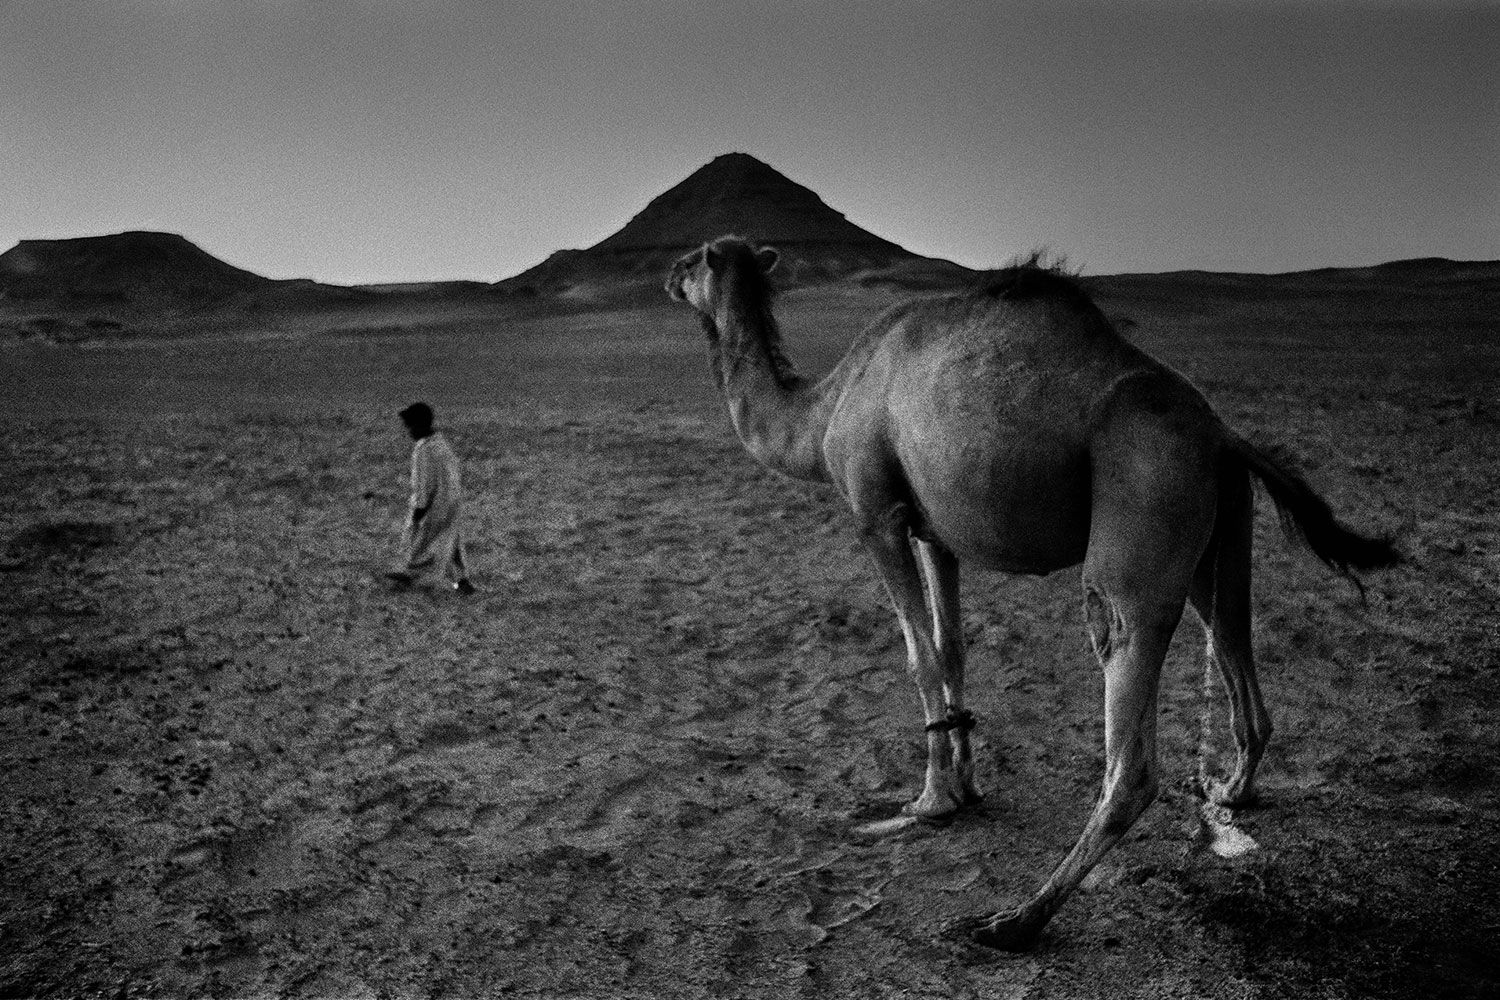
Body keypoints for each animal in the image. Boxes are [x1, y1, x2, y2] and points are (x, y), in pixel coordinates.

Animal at [666, 232, 1392, 947]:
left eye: (694, 259)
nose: (668, 276)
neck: (821, 413)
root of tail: (1222, 433)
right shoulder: (934, 531)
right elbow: (950, 648)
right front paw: (966, 786)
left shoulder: (877, 512)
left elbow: (918, 656)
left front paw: (930, 800)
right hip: (1222, 528)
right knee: (1233, 634)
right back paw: (1232, 793)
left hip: (1146, 496)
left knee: (1126, 702)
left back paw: (1015, 919)